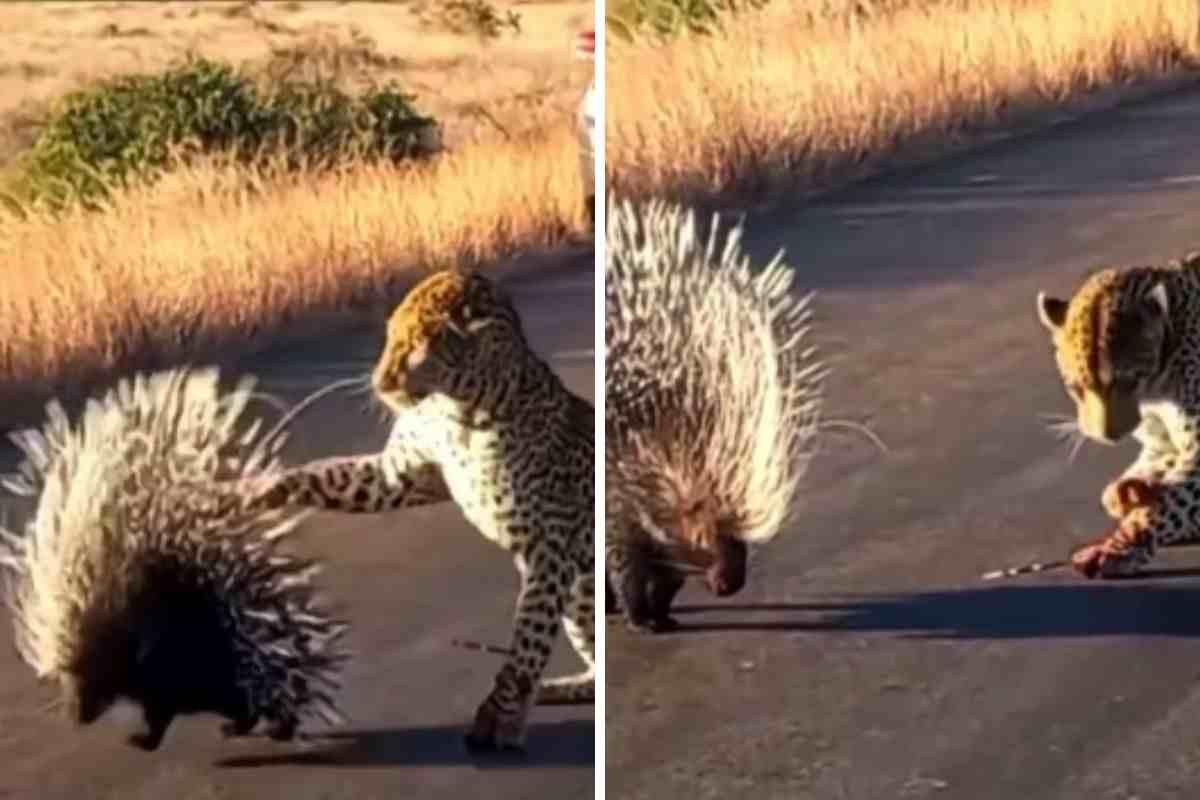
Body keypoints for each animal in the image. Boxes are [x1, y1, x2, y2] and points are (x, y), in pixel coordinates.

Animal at [241, 268, 592, 753]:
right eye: (389, 338)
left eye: (414, 345)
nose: (379, 382)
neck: (461, 409)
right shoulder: (399, 476)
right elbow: (324, 474)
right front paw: (260, 488)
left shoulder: (549, 547)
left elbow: (528, 639)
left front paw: (500, 717)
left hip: (579, 581)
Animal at [1036, 248, 1200, 575]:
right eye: (1075, 387)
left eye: (1127, 381)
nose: (1106, 437)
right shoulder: (1160, 445)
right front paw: (1127, 491)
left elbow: (1166, 505)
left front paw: (1118, 547)